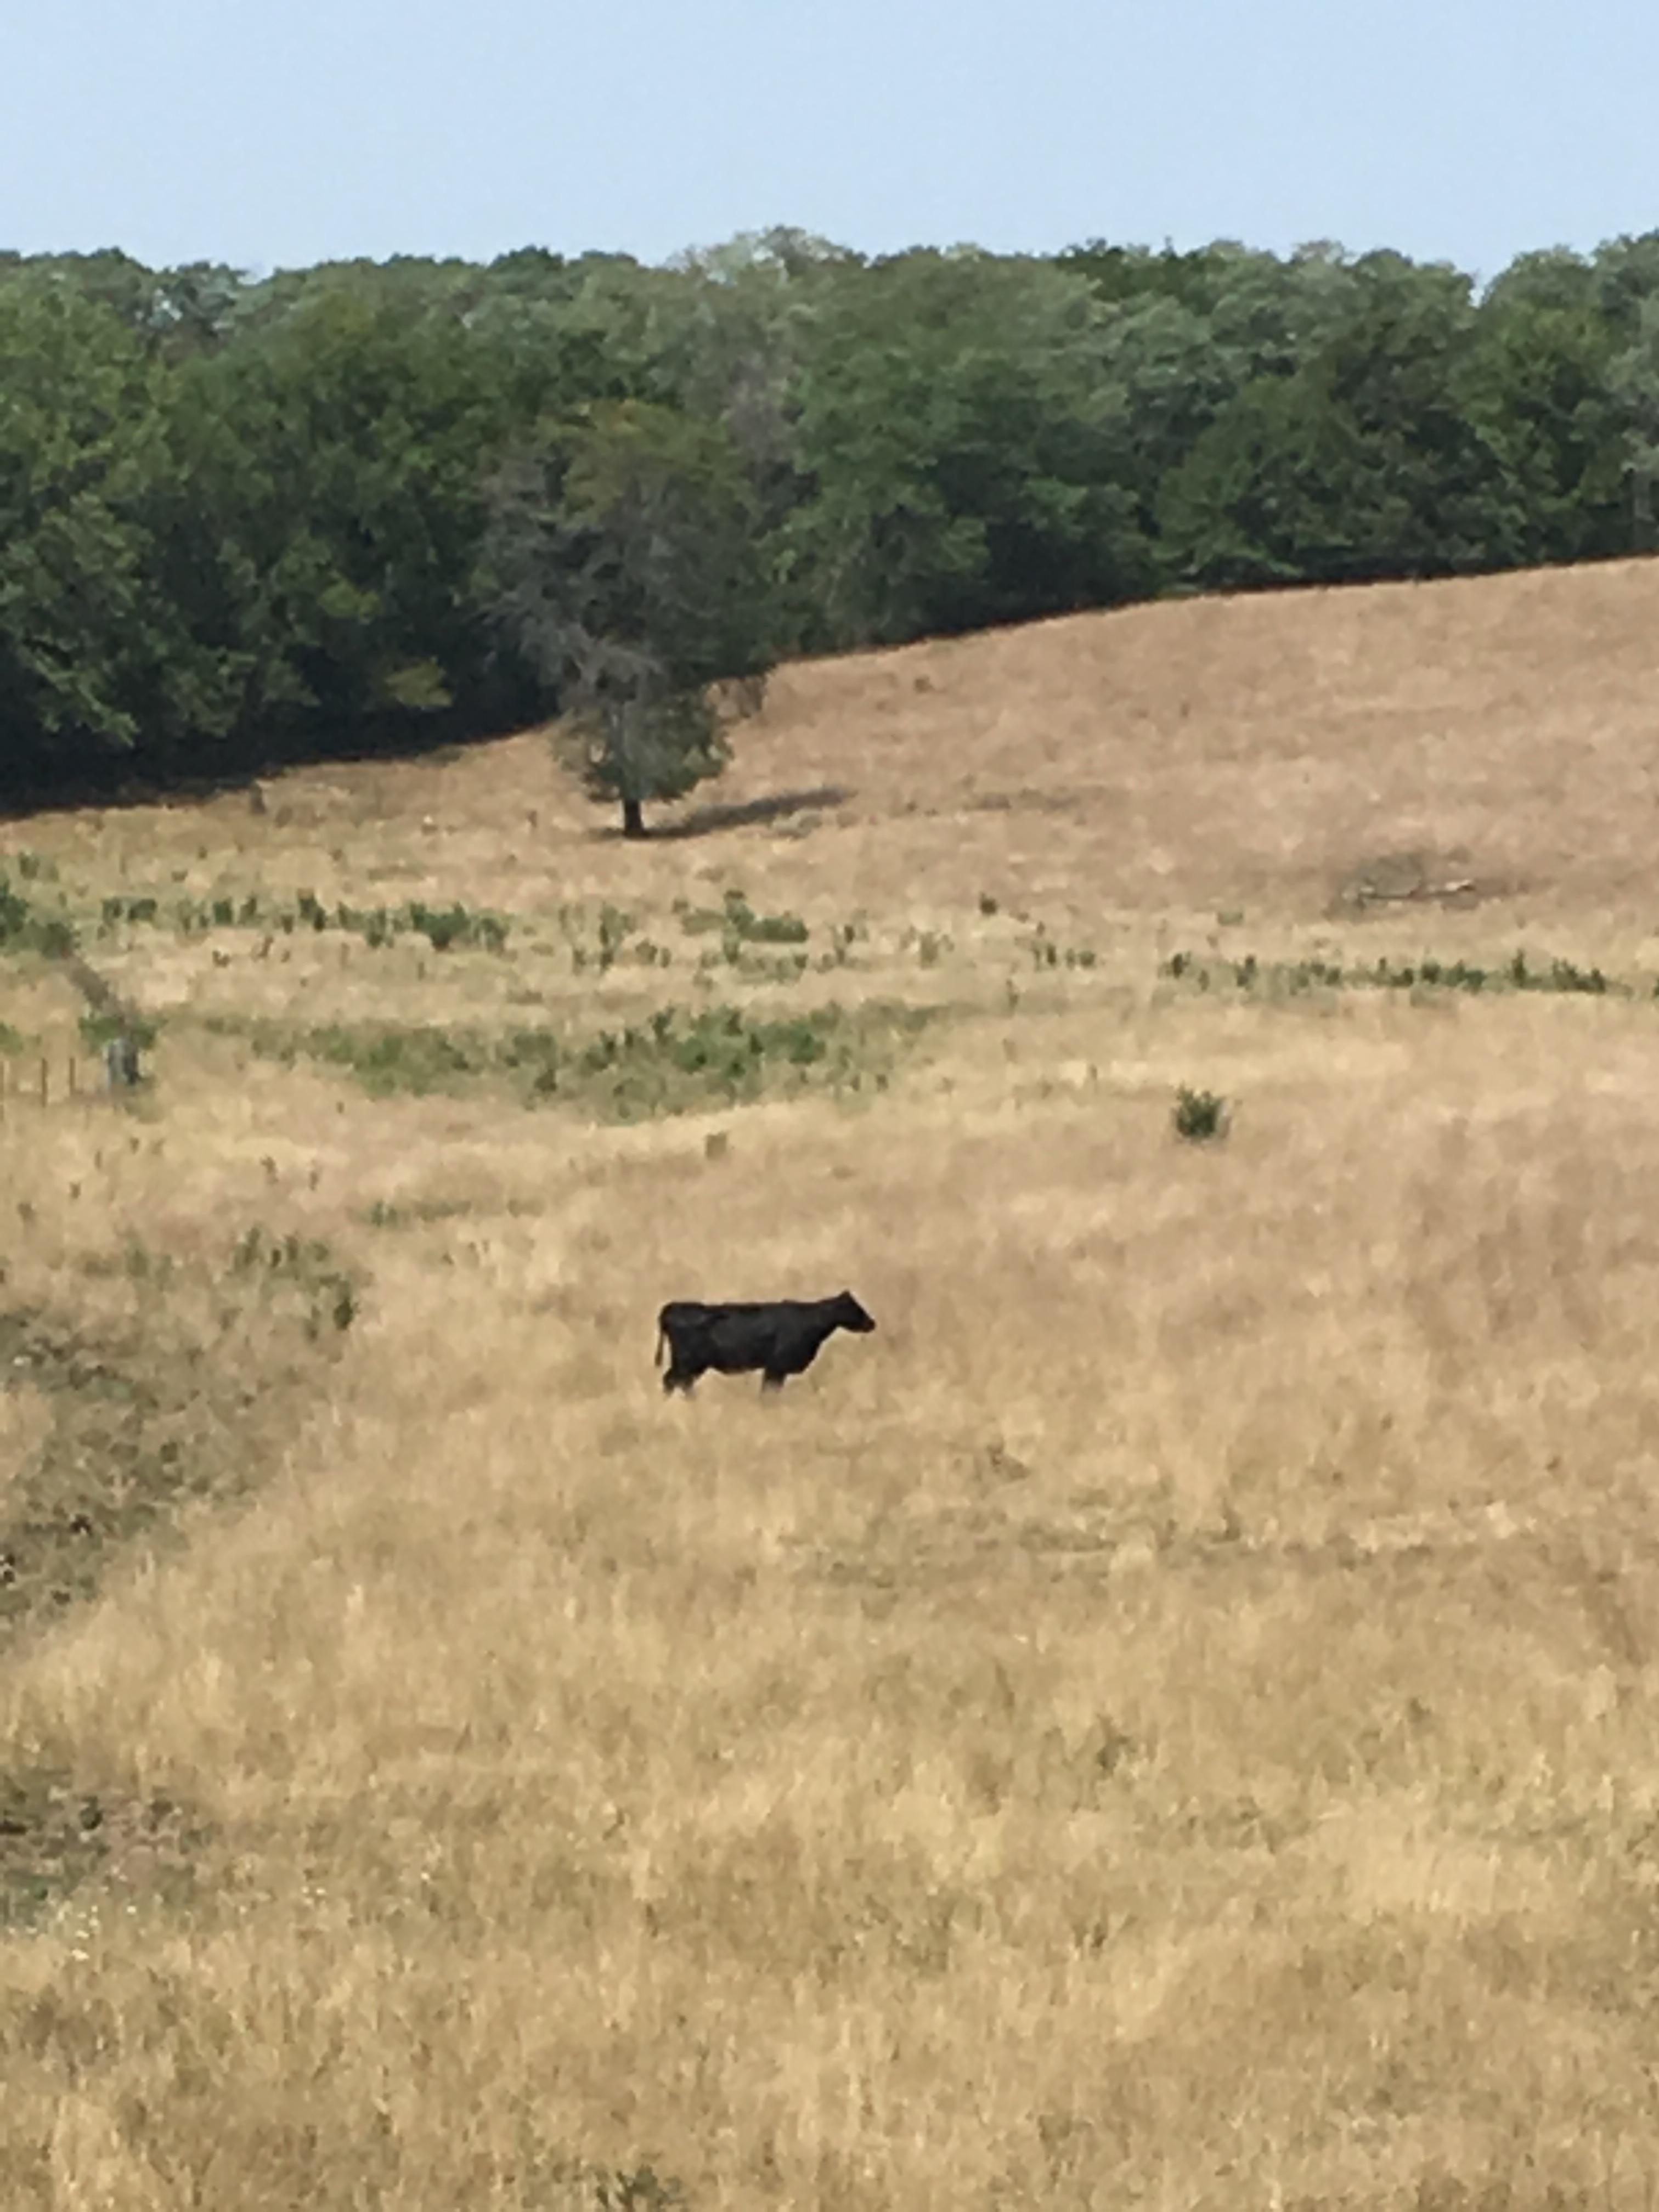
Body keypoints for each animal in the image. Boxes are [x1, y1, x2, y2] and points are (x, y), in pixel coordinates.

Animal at [654, 1291, 876, 1389]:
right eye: (856, 1309)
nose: (872, 1323)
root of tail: (672, 1307)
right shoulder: (776, 1367)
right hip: (687, 1363)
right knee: (673, 1381)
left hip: (690, 1365)